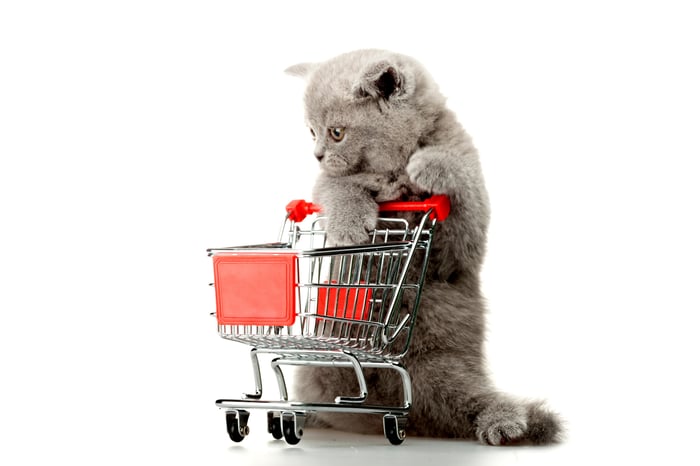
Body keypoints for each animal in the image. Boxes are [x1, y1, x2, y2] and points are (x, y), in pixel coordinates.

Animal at [284, 49, 564, 446]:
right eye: (311, 131)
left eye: (336, 132)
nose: (317, 154)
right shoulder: (328, 183)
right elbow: (337, 188)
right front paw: (348, 225)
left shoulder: (459, 243)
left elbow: (462, 189)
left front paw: (430, 164)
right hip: (323, 364)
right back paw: (309, 415)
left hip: (444, 365)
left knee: (465, 402)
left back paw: (505, 422)